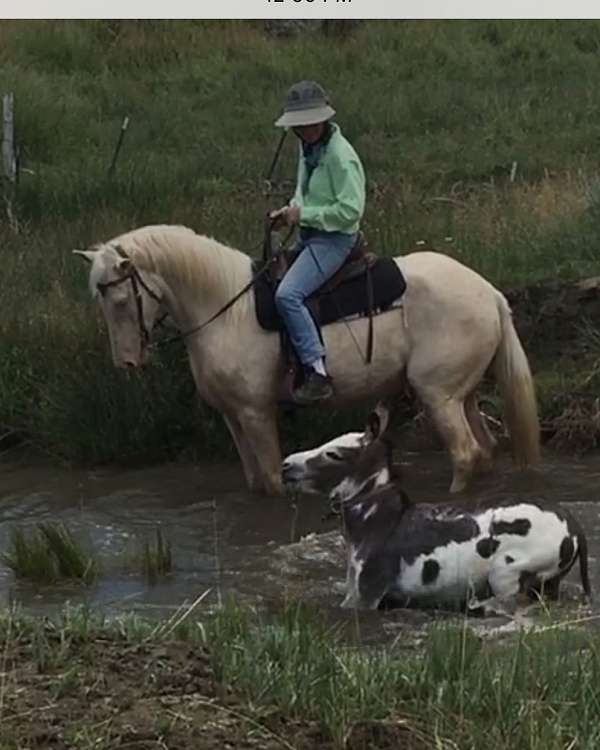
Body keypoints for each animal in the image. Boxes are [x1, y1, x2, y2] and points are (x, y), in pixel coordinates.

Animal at [74, 226, 540, 496]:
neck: (227, 311)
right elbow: (254, 481)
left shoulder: (256, 412)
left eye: (119, 299)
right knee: (485, 449)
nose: (127, 363)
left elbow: (272, 480)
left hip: (438, 395)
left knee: (465, 453)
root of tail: (488, 292)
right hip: (464, 394)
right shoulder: (231, 416)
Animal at [282, 406, 592, 612]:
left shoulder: (367, 596)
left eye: (333, 453)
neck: (372, 518)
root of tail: (574, 526)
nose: (286, 465)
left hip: (506, 576)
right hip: (548, 584)